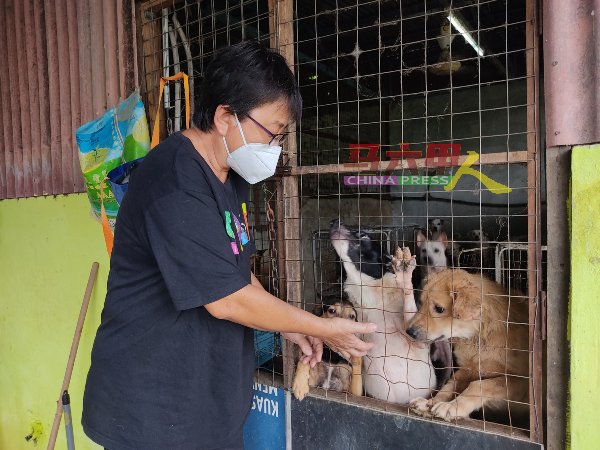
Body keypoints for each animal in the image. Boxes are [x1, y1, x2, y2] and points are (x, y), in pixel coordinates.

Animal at [406, 270, 528, 422]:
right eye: (422, 303)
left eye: (439, 309)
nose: (409, 332)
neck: (479, 336)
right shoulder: (468, 370)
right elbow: (449, 386)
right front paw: (429, 403)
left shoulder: (519, 380)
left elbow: (478, 385)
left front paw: (452, 407)